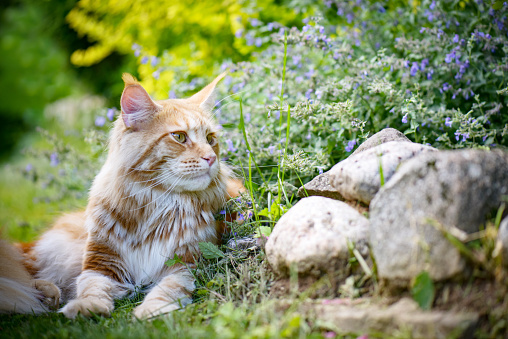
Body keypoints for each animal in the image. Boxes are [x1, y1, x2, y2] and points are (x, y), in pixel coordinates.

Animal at [1, 73, 244, 320]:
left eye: (211, 138)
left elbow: (168, 289)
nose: (211, 158)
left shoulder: (187, 262)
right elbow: (91, 287)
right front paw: (86, 306)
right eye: (179, 136)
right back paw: (43, 295)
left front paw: (150, 310)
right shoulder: (101, 263)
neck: (158, 204)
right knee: (27, 272)